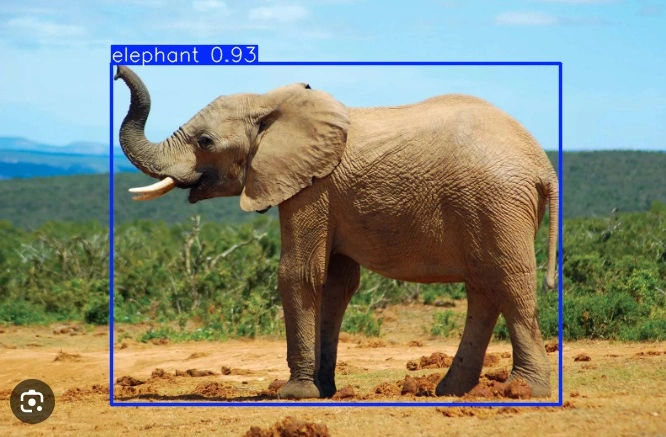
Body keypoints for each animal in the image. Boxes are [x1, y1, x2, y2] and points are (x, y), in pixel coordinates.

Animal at [114, 65, 559, 399]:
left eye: (205, 141)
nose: (118, 70)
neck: (271, 102)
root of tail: (544, 166)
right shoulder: (326, 193)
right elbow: (335, 283)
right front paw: (322, 389)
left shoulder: (312, 187)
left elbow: (299, 274)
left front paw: (294, 394)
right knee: (483, 287)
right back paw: (451, 391)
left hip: (497, 203)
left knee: (508, 282)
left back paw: (523, 391)